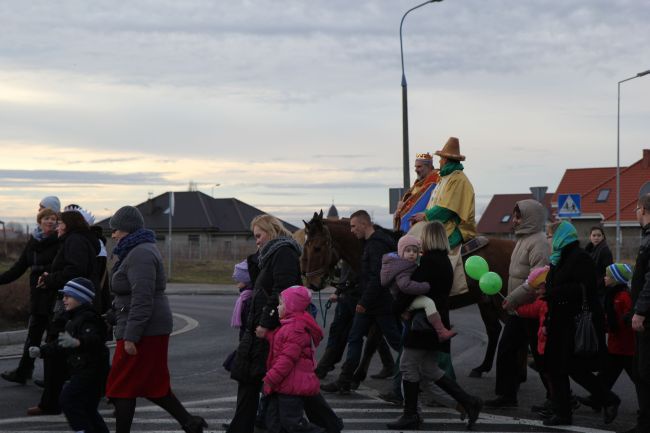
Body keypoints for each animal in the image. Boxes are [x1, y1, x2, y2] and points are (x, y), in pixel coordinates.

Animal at [302, 208, 512, 374]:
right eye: (305, 246)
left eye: (318, 248)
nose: (311, 282)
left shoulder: (383, 308)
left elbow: (372, 340)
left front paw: (352, 376)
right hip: (486, 302)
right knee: (494, 330)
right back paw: (482, 367)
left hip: (502, 302)